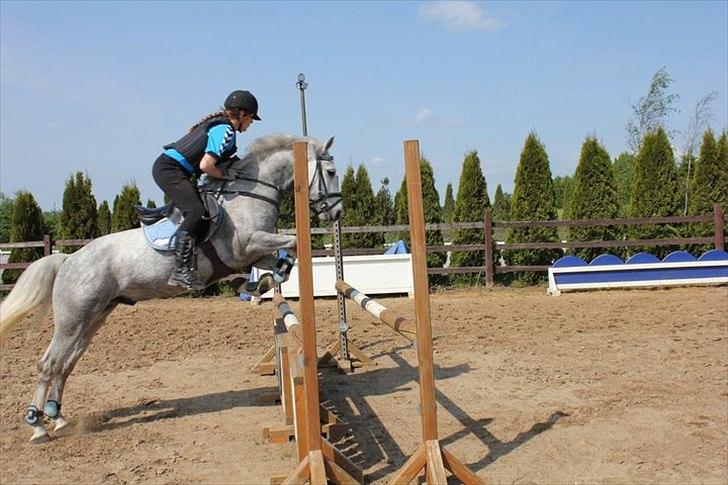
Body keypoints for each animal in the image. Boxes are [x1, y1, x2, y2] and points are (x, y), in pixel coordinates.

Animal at [0, 132, 342, 442]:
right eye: (331, 172)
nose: (337, 213)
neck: (250, 195)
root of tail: (68, 259)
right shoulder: (243, 247)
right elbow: (292, 242)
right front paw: (258, 283)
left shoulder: (251, 252)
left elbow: (282, 257)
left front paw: (262, 282)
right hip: (73, 319)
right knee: (49, 363)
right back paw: (37, 425)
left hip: (94, 318)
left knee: (66, 363)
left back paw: (57, 417)